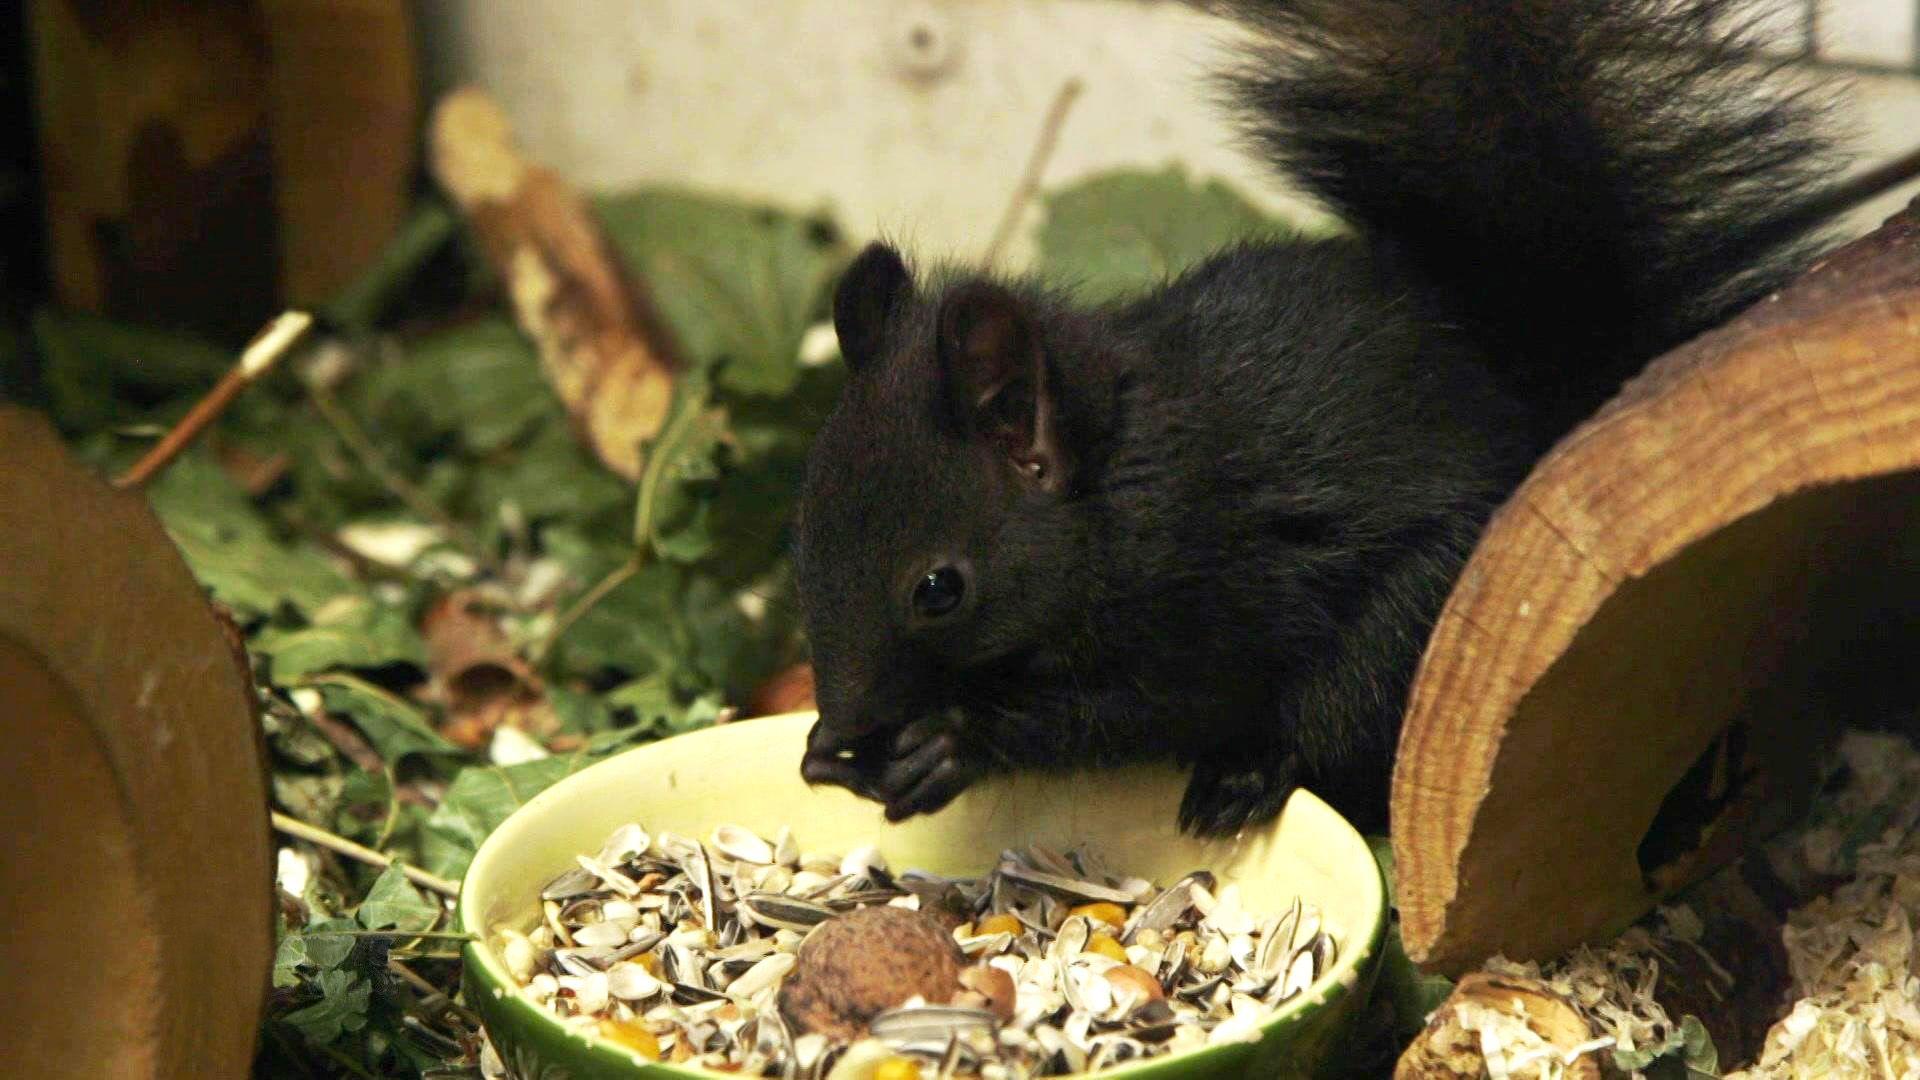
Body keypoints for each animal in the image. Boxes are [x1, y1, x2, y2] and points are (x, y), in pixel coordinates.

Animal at [789, 0, 1854, 837]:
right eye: (801, 539)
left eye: (939, 589)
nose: (842, 721)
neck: (1116, 487)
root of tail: (1550, 397)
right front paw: (824, 757)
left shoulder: (1200, 593)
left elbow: (1135, 710)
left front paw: (952, 743)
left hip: (1413, 629)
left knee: (1331, 725)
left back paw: (1244, 779)